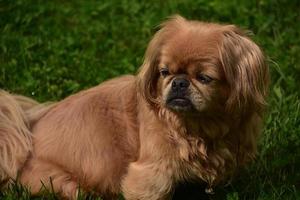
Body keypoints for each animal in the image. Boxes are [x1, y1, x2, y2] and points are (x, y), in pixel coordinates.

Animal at [0, 16, 268, 200]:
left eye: (204, 78)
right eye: (164, 72)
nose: (179, 82)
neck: (198, 127)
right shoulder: (150, 174)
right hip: (60, 182)